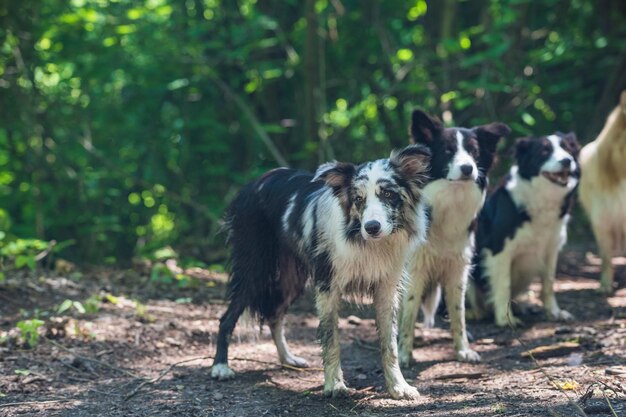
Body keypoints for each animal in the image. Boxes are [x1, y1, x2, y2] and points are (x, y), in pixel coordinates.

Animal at [210, 145, 428, 398]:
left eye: (388, 194)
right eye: (358, 199)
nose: (372, 227)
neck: (363, 241)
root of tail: (253, 184)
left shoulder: (386, 290)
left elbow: (389, 344)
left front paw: (398, 386)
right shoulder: (327, 288)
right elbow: (331, 340)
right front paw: (335, 385)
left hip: (291, 280)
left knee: (275, 316)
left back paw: (287, 358)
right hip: (254, 271)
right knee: (226, 318)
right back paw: (220, 367)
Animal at [398, 109, 510, 364]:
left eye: (474, 151)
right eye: (448, 151)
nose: (468, 168)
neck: (450, 203)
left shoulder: (458, 268)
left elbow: (458, 314)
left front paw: (463, 349)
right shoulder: (415, 268)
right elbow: (408, 313)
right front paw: (404, 354)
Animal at [466, 132, 576, 326]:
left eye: (567, 149)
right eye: (545, 151)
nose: (567, 160)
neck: (541, 199)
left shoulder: (551, 248)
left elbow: (549, 282)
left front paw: (554, 312)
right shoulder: (499, 249)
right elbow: (503, 284)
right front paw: (505, 319)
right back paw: (473, 312)